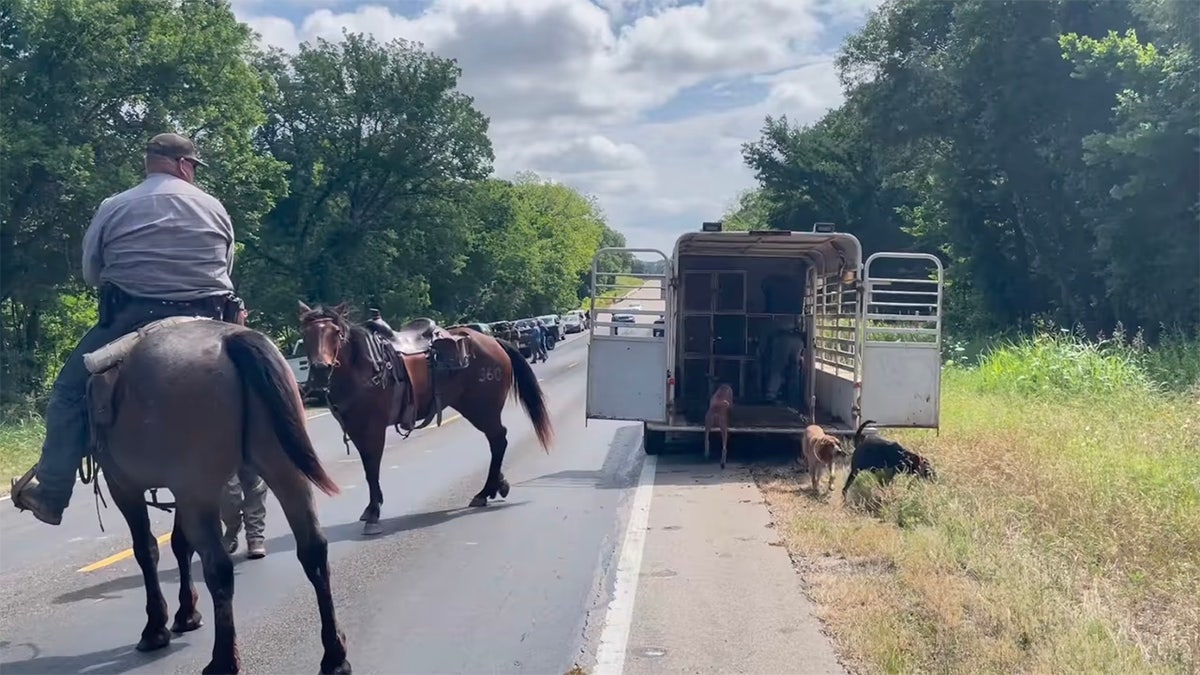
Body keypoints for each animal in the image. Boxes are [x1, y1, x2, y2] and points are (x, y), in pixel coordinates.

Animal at [81, 317, 348, 672]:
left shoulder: (124, 486)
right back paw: (334, 655)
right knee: (313, 549)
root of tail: (234, 338)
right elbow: (179, 544)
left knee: (218, 569)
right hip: (284, 470)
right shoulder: (182, 491)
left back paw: (223, 660)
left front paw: (156, 629)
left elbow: (147, 550)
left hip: (200, 491)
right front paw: (186, 614)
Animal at [295, 302, 552, 533]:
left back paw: (484, 492)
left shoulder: (373, 428)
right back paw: (496, 485)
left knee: (498, 439)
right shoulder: (355, 429)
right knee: (497, 439)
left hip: (481, 409)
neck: (363, 368)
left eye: (336, 333)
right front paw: (370, 509)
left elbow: (372, 467)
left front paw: (374, 513)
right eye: (305, 334)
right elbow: (368, 468)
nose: (320, 369)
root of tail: (493, 341)